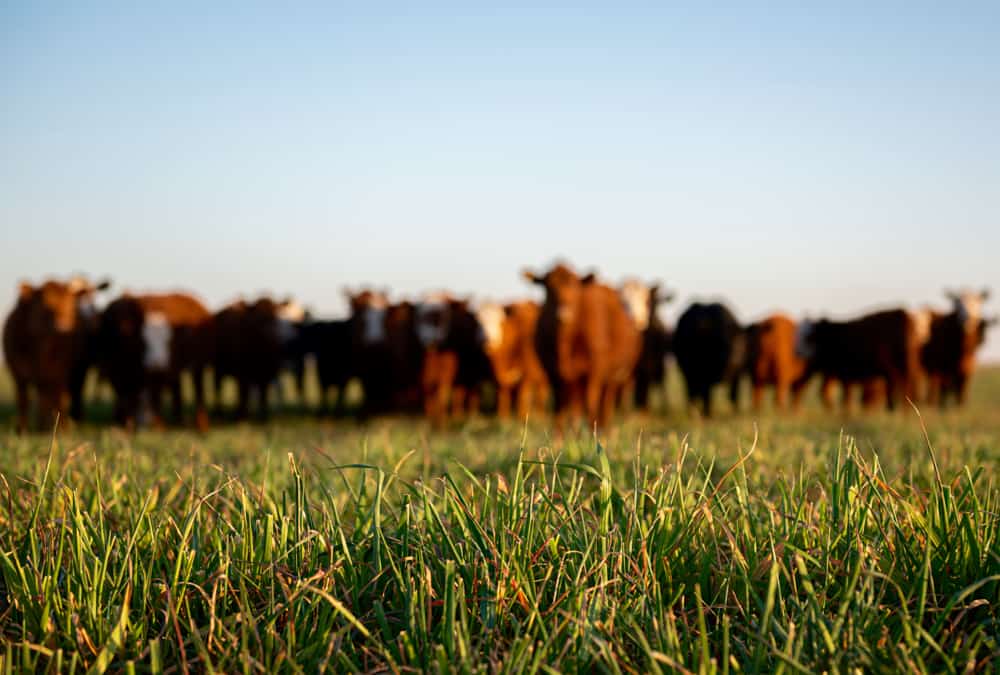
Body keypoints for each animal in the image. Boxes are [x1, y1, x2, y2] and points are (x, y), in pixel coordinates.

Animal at [3, 276, 110, 430]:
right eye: (45, 304)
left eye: (70, 304)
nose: (63, 327)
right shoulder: (18, 372)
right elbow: (23, 400)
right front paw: (22, 429)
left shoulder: (61, 372)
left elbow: (60, 399)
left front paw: (61, 428)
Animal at [98, 290, 213, 428]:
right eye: (143, 339)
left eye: (169, 340)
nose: (156, 363)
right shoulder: (116, 370)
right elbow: (125, 397)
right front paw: (126, 422)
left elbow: (153, 397)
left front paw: (155, 424)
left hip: (197, 364)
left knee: (198, 389)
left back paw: (199, 423)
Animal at [524, 264, 640, 428]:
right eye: (548, 287)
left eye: (575, 285)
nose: (564, 311)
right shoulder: (553, 374)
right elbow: (559, 411)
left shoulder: (594, 373)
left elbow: (591, 406)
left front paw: (593, 433)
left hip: (612, 378)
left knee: (604, 405)